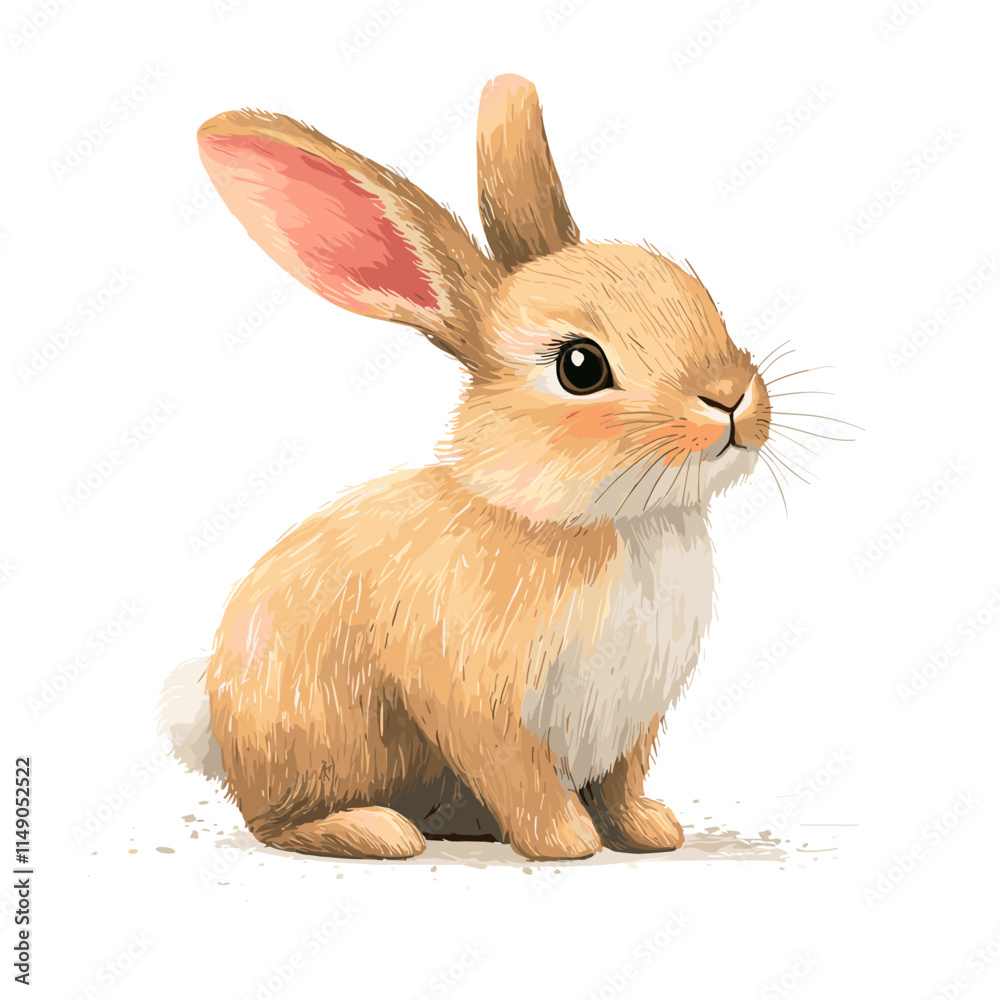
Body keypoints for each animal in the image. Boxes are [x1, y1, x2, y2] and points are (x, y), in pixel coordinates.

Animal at [193, 74, 773, 861]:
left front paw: (651, 831)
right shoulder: (481, 705)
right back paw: (379, 831)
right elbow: (522, 779)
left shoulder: (636, 719)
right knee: (277, 823)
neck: (608, 521)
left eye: (699, 296)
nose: (732, 398)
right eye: (580, 367)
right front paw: (567, 843)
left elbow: (623, 783)